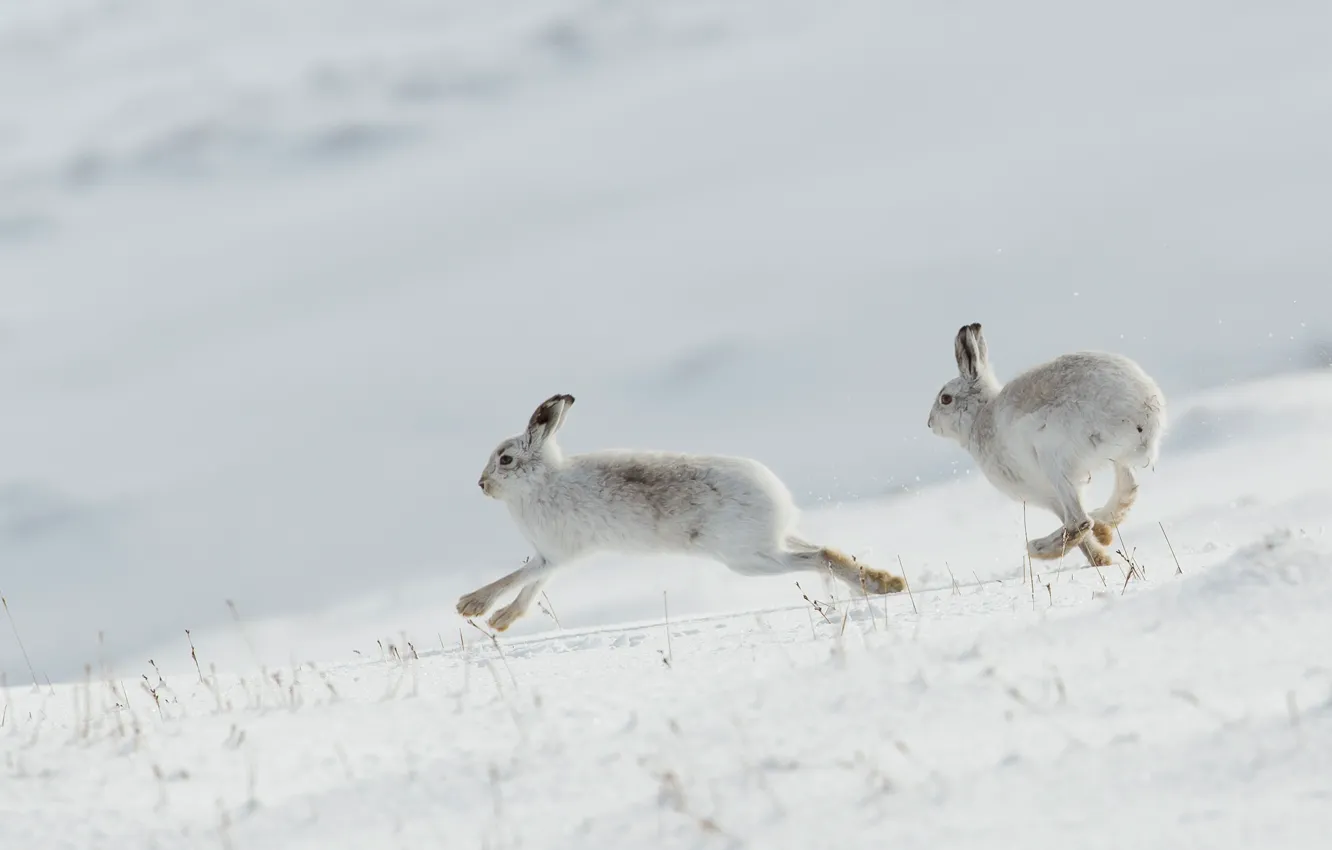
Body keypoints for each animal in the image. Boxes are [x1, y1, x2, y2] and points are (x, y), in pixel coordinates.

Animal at [457, 393, 905, 631]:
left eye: (506, 460)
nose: (481, 484)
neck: (543, 480)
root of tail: (778, 498)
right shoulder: (553, 557)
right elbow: (530, 587)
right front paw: (501, 621)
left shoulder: (554, 552)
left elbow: (518, 578)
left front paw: (471, 607)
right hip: (769, 546)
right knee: (827, 549)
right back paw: (884, 583)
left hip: (749, 558)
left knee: (819, 556)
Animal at [927, 323, 1167, 567]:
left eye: (945, 399)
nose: (930, 424)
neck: (979, 416)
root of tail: (1143, 413)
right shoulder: (1052, 498)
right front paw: (1102, 559)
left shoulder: (1046, 492)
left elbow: (1079, 531)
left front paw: (1098, 559)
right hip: (1113, 460)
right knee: (1126, 490)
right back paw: (1102, 527)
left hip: (1053, 457)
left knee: (1079, 521)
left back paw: (1037, 547)